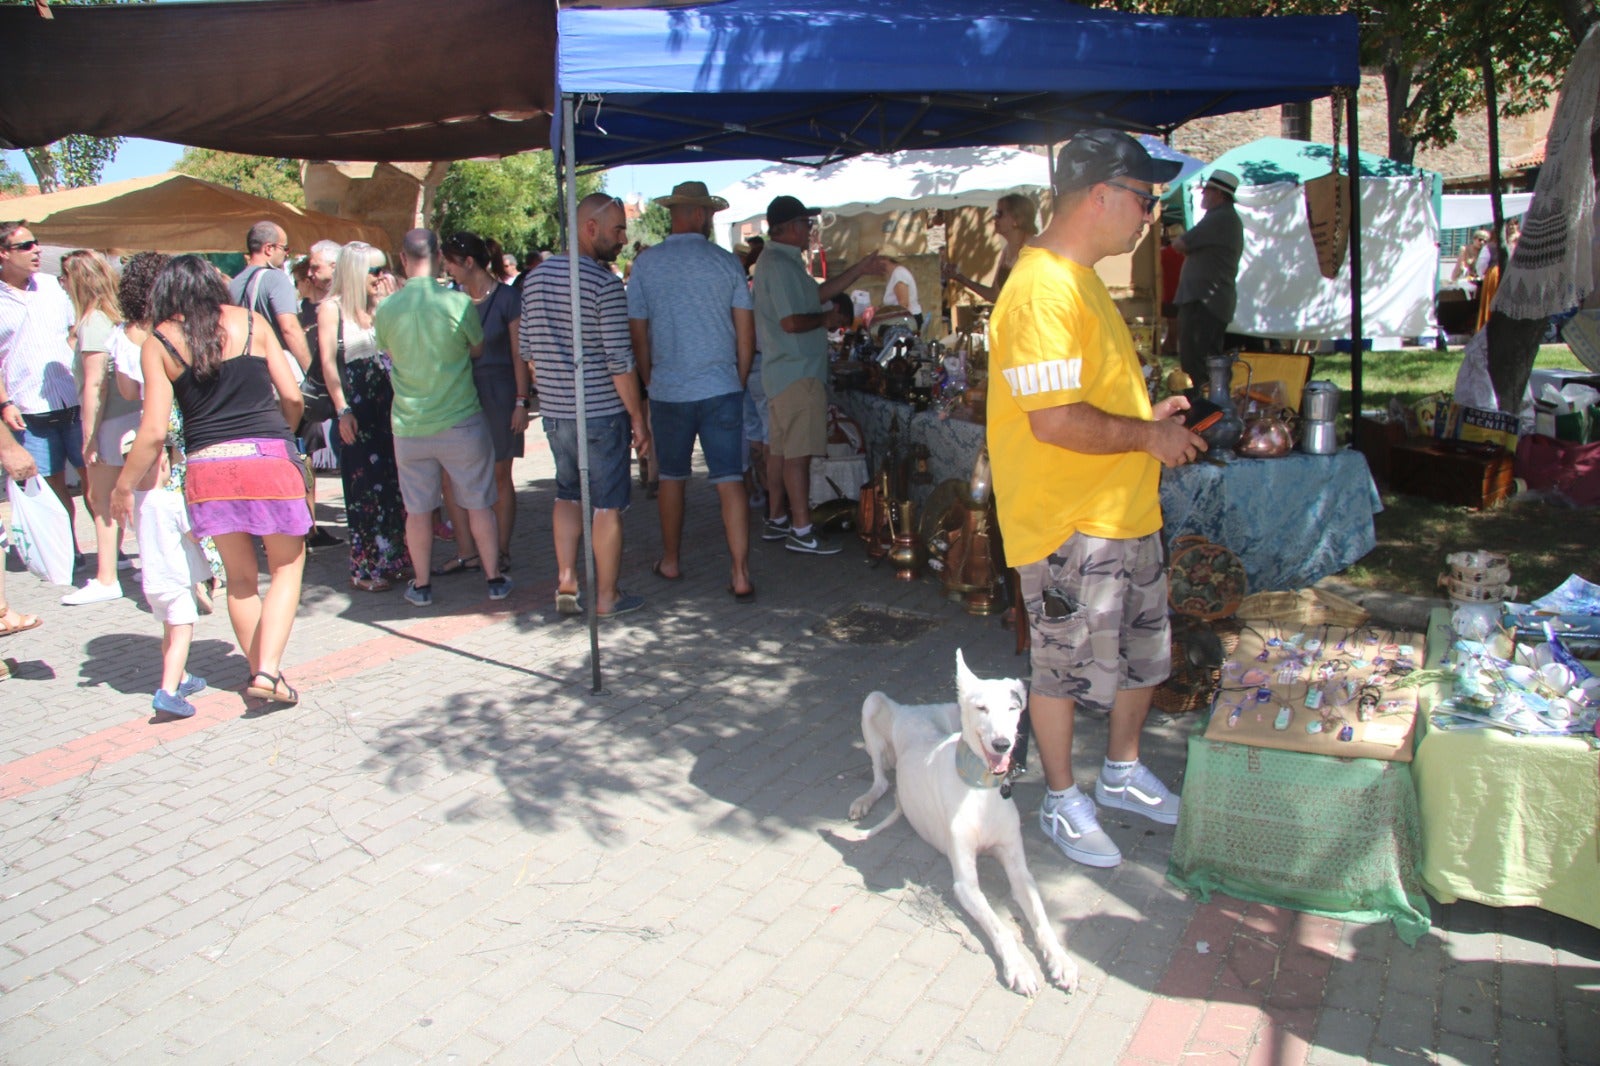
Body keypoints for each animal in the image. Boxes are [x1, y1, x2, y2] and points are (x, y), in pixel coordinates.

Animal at [844, 646, 1081, 998]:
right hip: (872, 703)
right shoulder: (965, 884)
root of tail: (917, 708)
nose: (1002, 744)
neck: (981, 789)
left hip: (949, 715)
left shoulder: (1019, 868)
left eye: (1013, 708)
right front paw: (1020, 969)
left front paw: (1061, 961)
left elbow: (1041, 918)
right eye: (981, 708)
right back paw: (864, 800)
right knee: (880, 778)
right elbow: (1001, 928)